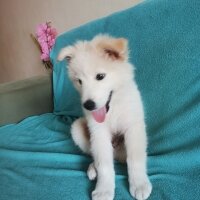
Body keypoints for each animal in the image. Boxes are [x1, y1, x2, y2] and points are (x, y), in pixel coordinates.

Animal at [57, 34, 152, 200]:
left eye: (100, 76)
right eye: (79, 81)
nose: (88, 105)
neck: (112, 109)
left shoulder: (133, 127)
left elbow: (135, 159)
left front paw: (139, 184)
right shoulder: (98, 133)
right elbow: (104, 165)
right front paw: (103, 190)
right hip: (78, 129)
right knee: (96, 156)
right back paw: (92, 169)